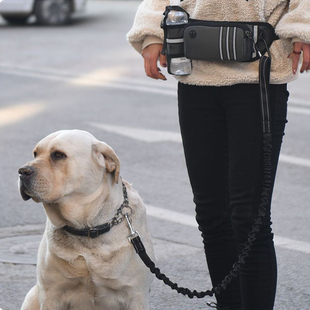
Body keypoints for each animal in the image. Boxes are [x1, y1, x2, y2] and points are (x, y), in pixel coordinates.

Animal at [17, 130, 154, 308]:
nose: (22, 171)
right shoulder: (51, 294)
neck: (87, 228)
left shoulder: (136, 295)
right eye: (35, 154)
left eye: (58, 154)